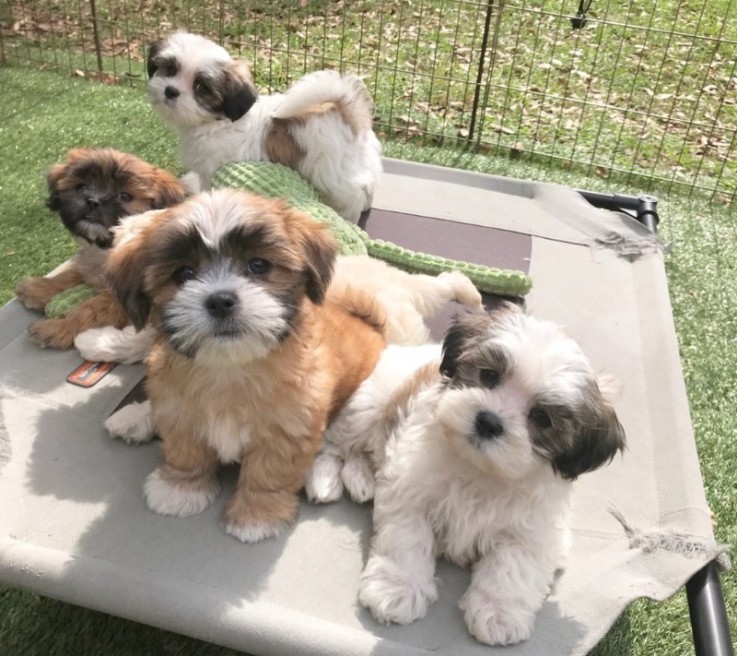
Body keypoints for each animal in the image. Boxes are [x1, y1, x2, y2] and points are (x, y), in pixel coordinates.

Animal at [15, 149, 187, 352]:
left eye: (125, 196)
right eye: (81, 187)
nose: (93, 201)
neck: (107, 249)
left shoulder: (122, 302)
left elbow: (90, 310)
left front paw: (57, 328)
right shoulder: (90, 263)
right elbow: (70, 273)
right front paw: (38, 288)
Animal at [147, 31, 382, 223]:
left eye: (201, 88)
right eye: (170, 69)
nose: (171, 91)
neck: (218, 121)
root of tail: (346, 109)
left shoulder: (211, 169)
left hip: (330, 170)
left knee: (352, 193)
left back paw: (348, 215)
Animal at [308, 306, 624, 644]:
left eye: (542, 417)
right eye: (489, 375)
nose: (489, 421)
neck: (481, 469)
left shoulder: (537, 532)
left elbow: (514, 566)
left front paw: (499, 612)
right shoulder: (410, 489)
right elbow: (407, 538)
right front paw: (397, 588)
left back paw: (362, 478)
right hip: (368, 404)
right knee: (337, 442)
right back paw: (325, 479)